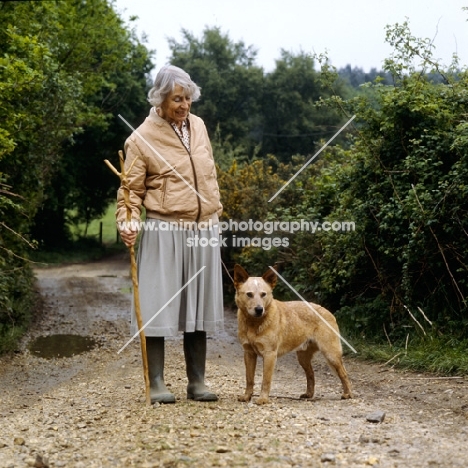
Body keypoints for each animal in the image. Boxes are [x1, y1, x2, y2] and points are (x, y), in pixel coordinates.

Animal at [234, 266, 352, 404]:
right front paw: (247, 396)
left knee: (344, 373)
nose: (259, 309)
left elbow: (265, 380)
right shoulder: (249, 353)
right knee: (311, 374)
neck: (254, 324)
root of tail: (327, 311)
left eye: (263, 294)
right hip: (303, 357)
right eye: (249, 294)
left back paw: (348, 394)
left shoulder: (269, 354)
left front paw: (263, 399)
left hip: (331, 354)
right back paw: (309, 394)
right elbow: (249, 379)